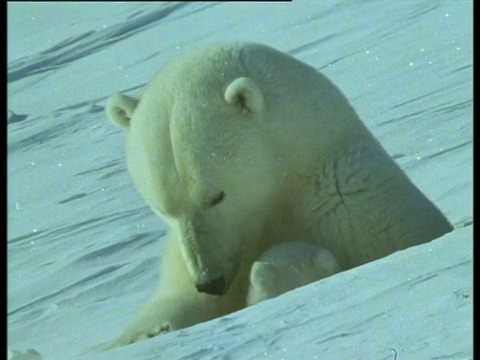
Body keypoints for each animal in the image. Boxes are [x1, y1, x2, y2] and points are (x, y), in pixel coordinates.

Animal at [102, 42, 454, 348]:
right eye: (163, 209)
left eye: (216, 196)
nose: (209, 281)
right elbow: (177, 302)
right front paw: (150, 332)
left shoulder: (352, 212)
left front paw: (272, 275)